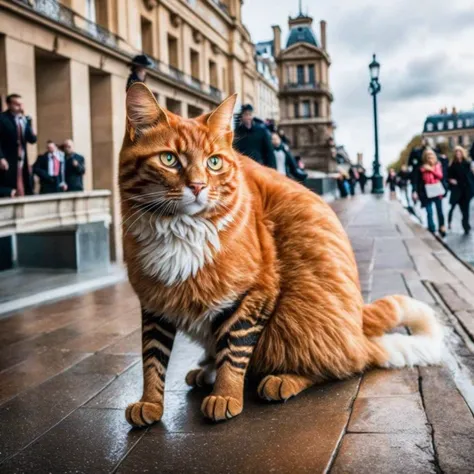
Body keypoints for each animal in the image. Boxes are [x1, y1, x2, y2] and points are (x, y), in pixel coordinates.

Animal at [119, 83, 444, 428]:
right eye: (169, 159)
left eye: (214, 163)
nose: (197, 186)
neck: (178, 229)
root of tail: (359, 321)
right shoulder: (154, 301)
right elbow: (152, 357)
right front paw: (150, 402)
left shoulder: (256, 292)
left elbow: (235, 349)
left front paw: (226, 395)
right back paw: (205, 371)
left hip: (299, 314)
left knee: (342, 364)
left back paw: (281, 379)